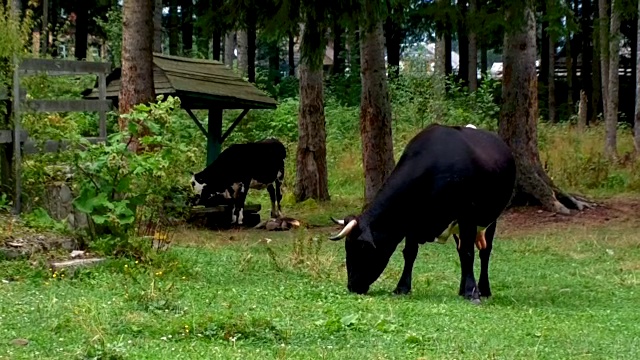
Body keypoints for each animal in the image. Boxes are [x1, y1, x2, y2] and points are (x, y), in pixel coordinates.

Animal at [330, 124, 516, 304]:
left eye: (362, 246)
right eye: (347, 247)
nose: (352, 286)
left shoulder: (467, 217)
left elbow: (468, 253)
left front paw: (472, 293)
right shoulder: (412, 221)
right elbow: (410, 253)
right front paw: (402, 288)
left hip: (490, 219)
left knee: (484, 253)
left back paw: (484, 289)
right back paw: (461, 289)